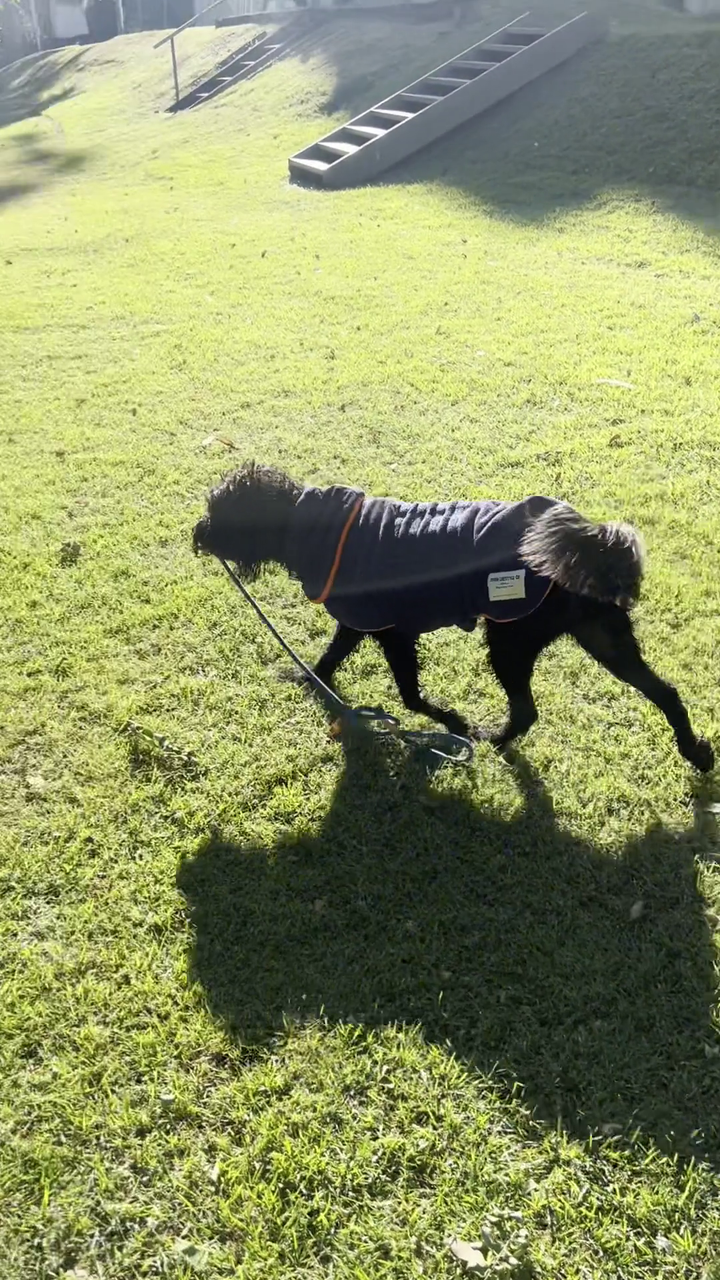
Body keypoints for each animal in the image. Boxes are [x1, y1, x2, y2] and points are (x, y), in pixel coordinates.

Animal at [192, 465, 712, 773]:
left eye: (220, 510)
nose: (197, 533)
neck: (307, 523)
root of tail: (593, 546)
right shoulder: (362, 623)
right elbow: (328, 661)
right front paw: (308, 682)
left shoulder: (392, 631)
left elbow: (408, 693)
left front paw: (451, 722)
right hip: (603, 637)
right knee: (666, 692)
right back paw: (695, 751)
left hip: (510, 640)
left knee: (527, 709)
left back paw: (491, 738)